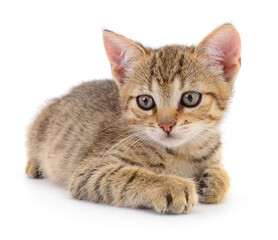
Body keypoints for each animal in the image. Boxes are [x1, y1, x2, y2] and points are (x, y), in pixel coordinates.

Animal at [27, 24, 242, 214]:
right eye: (145, 101)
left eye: (190, 98)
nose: (166, 125)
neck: (184, 153)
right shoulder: (89, 171)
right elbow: (129, 174)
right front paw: (171, 184)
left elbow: (221, 173)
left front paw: (216, 180)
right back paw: (34, 165)